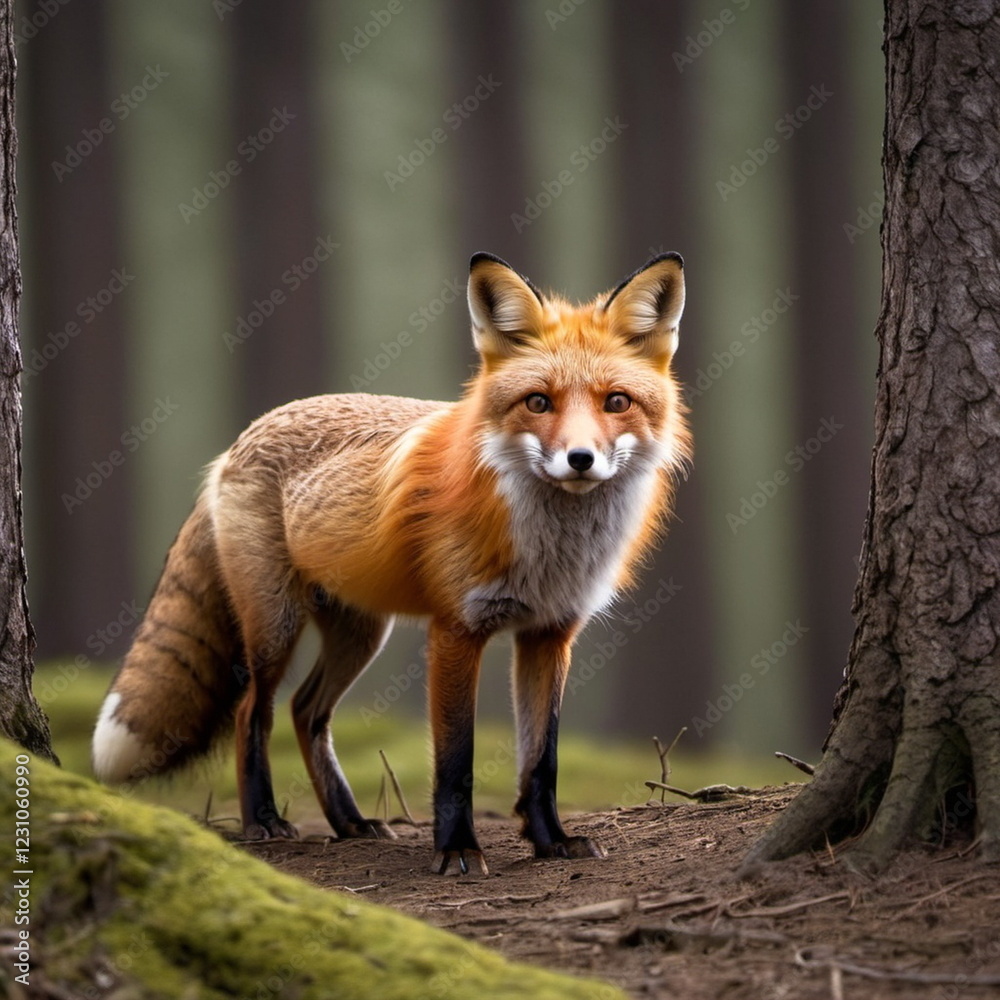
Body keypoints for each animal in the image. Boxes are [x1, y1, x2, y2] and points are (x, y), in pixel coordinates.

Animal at [92, 251, 690, 875]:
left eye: (616, 402)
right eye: (538, 402)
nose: (580, 459)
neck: (551, 548)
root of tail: (237, 442)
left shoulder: (549, 634)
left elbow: (541, 760)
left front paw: (552, 840)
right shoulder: (455, 632)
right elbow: (456, 762)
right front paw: (457, 849)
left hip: (360, 633)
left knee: (306, 711)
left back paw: (350, 823)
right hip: (274, 624)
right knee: (253, 711)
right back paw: (264, 820)